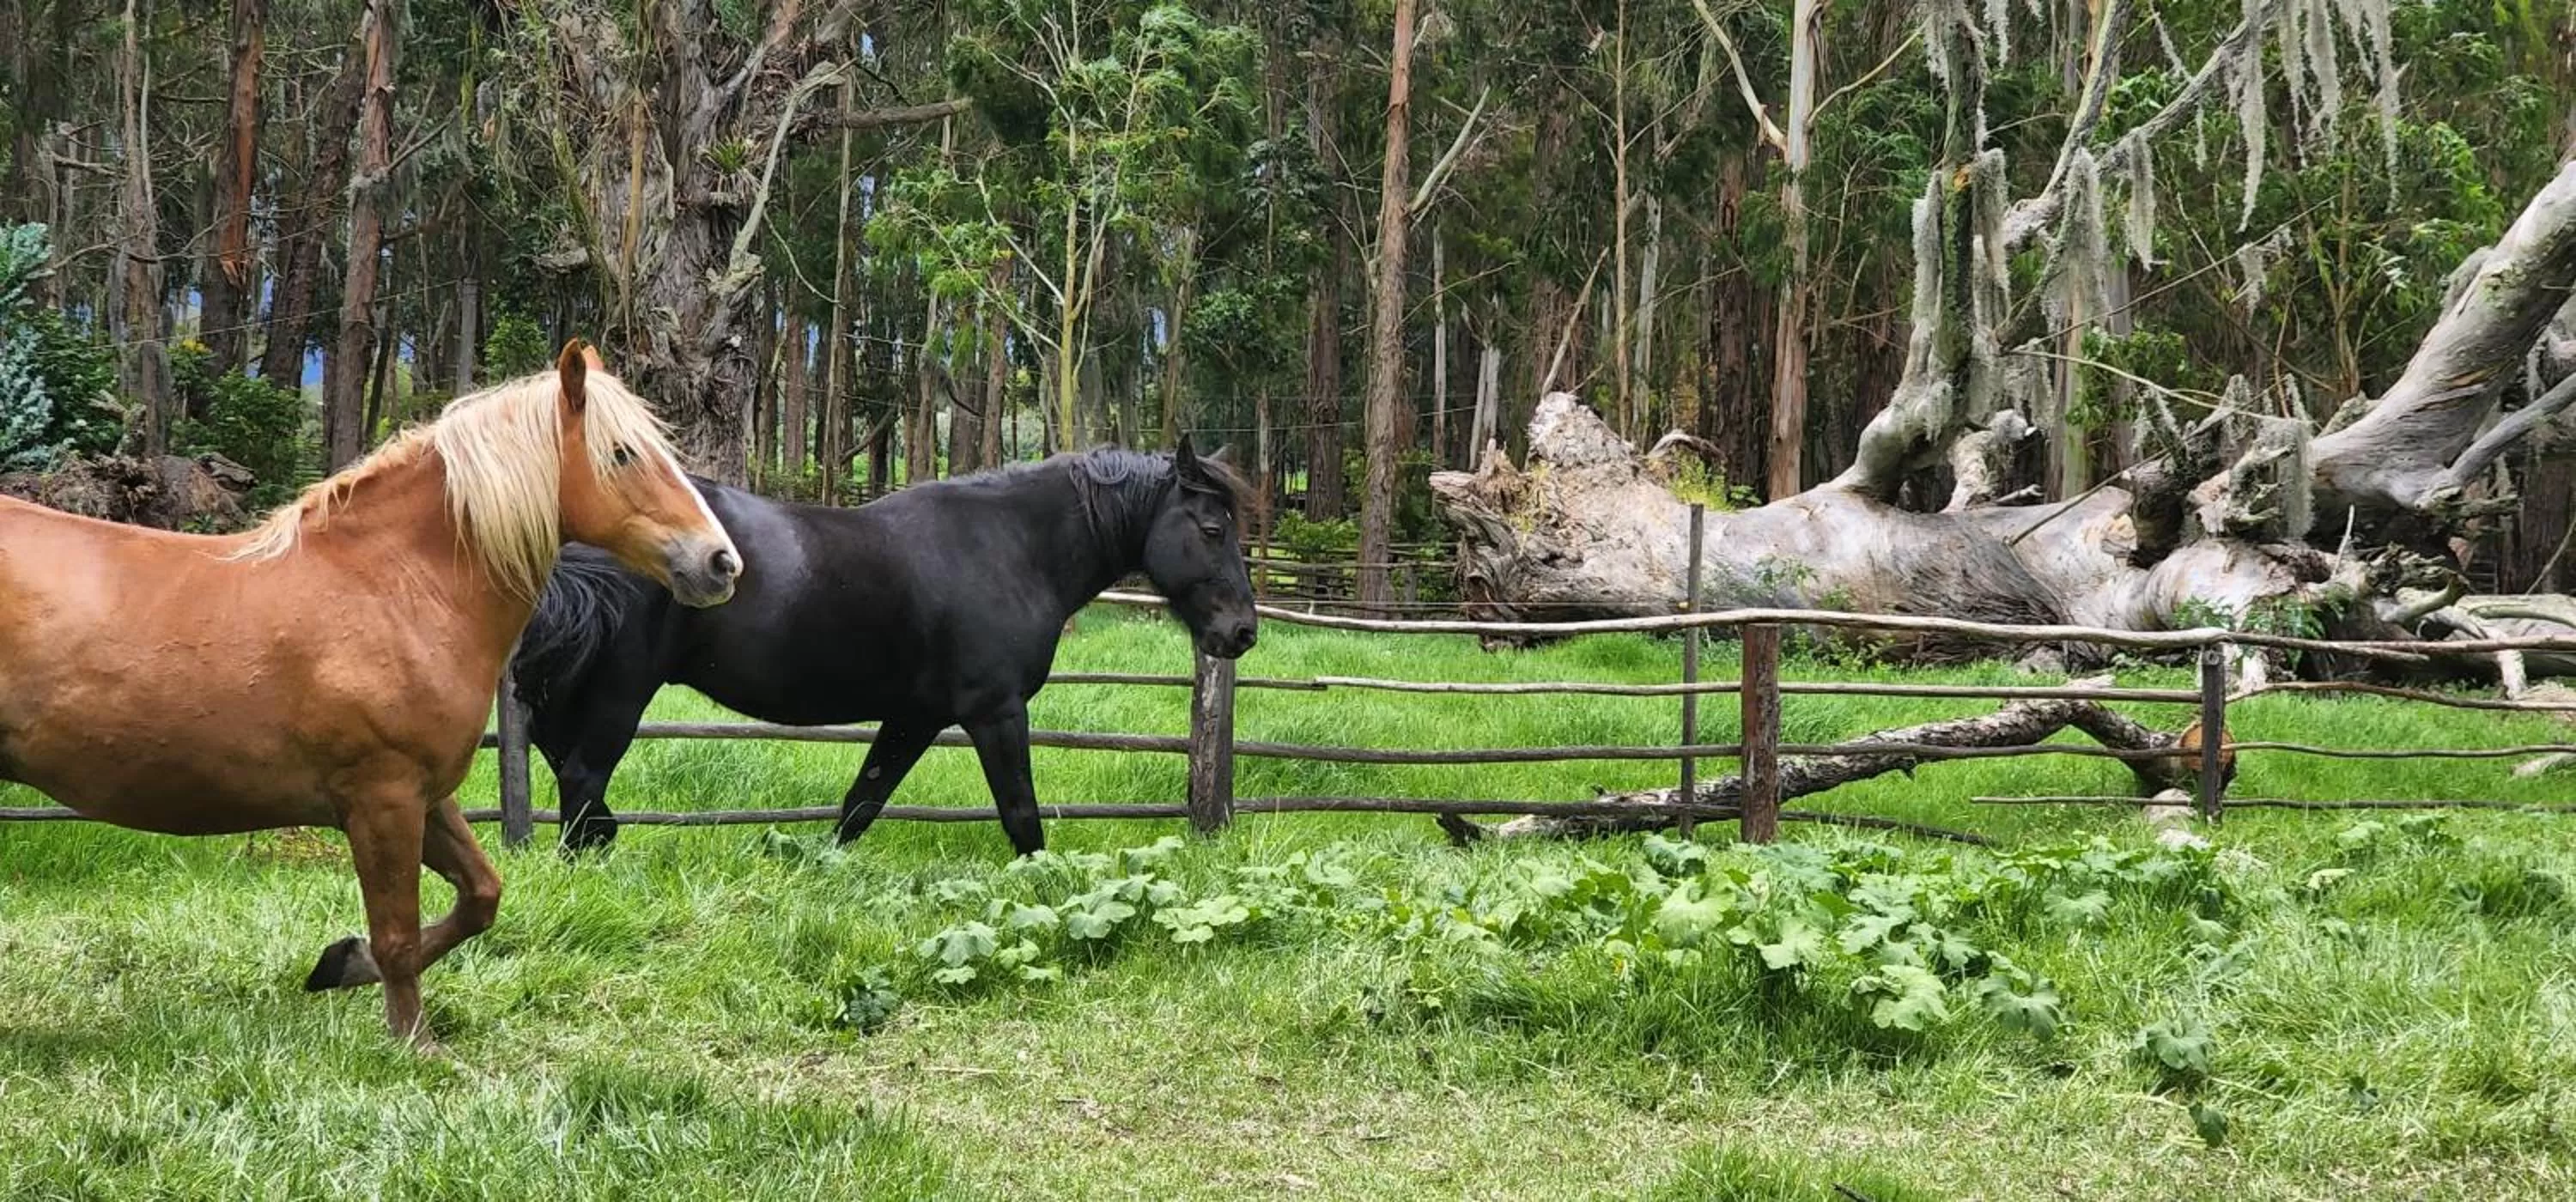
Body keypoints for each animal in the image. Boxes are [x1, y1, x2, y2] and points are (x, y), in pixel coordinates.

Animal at [0, 341, 741, 1045]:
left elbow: (481, 895)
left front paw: (341, 964)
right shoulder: (383, 799)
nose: (721, 562)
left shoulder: (425, 796)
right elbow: (399, 935)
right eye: (622, 454)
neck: (392, 588)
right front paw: (415, 1042)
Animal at [510, 437, 1260, 857]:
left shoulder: (915, 716)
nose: (1243, 632)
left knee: (559, 760)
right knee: (580, 778)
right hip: (620, 691)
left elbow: (861, 803)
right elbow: (1020, 813)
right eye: (1213, 528)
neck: (1012, 547)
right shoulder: (995, 712)